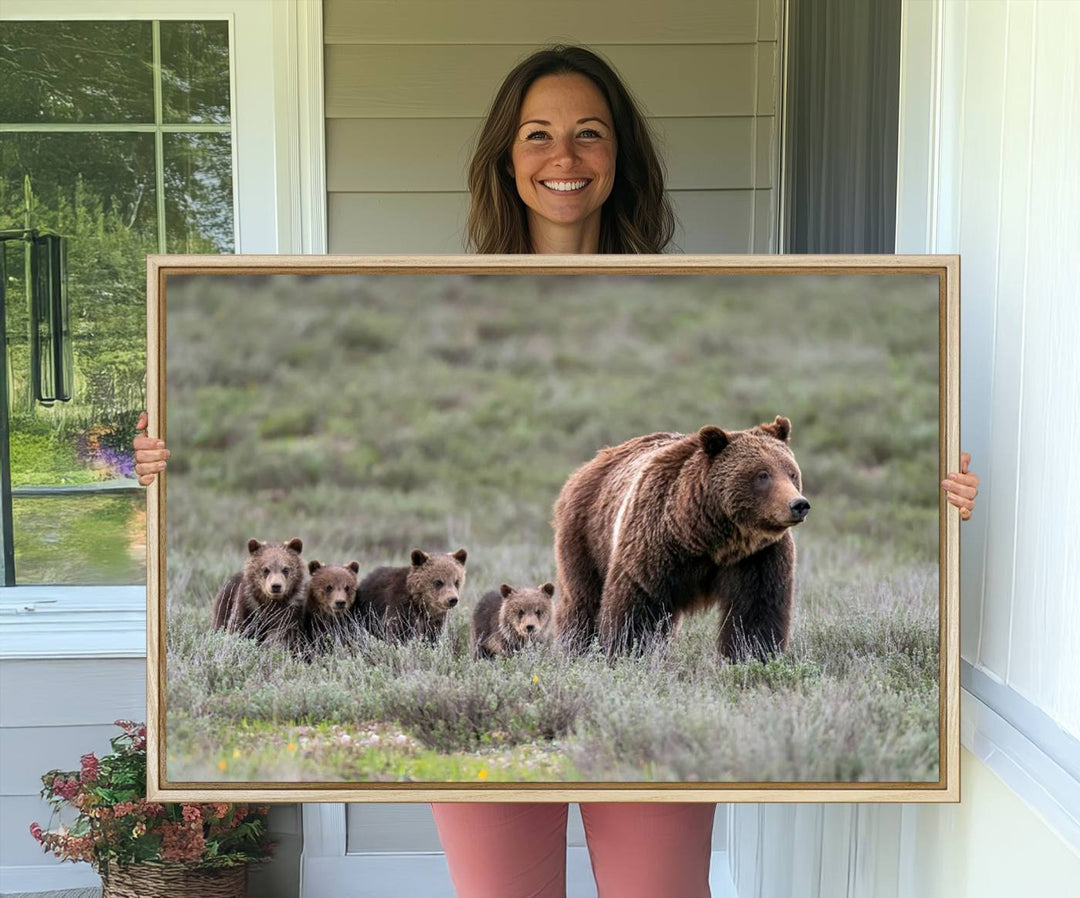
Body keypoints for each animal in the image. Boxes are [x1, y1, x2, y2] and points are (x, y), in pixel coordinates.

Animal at [557, 417, 812, 661]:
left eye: (791, 473)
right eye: (762, 475)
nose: (798, 504)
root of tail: (590, 464)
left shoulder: (757, 556)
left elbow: (756, 612)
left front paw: (752, 656)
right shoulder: (654, 546)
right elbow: (636, 607)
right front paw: (627, 653)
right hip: (587, 535)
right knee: (582, 601)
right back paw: (575, 648)